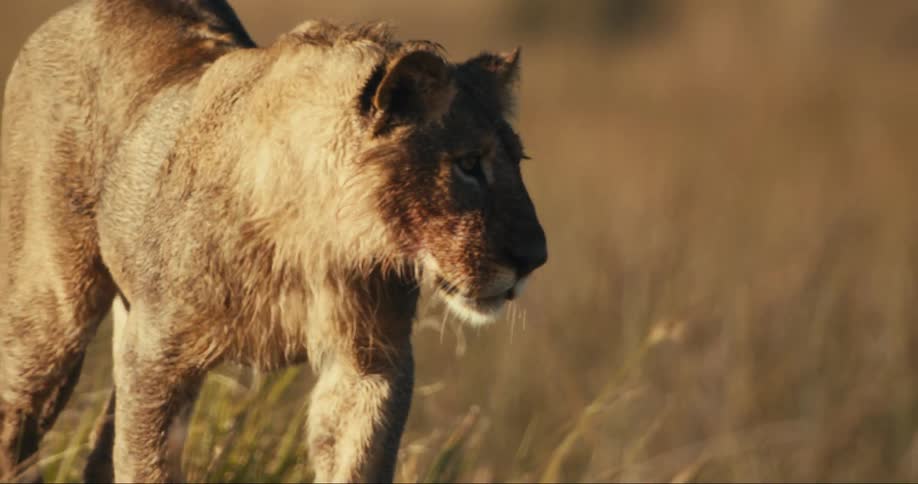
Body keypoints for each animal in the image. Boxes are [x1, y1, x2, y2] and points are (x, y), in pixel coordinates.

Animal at [0, 0, 547, 482]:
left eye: (518, 161)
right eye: (468, 164)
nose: (535, 259)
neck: (316, 238)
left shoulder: (371, 360)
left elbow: (358, 459)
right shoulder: (157, 355)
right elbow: (146, 463)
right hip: (52, 311)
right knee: (18, 417)